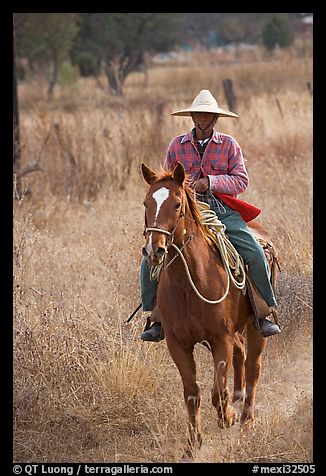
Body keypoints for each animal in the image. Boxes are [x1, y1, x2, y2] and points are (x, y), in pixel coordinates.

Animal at [141, 161, 266, 458]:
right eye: (146, 203)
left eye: (177, 204)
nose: (154, 250)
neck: (189, 281)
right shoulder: (178, 343)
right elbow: (192, 393)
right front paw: (192, 444)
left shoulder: (220, 337)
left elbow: (217, 392)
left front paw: (227, 417)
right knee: (241, 355)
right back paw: (238, 399)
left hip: (256, 326)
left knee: (253, 366)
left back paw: (246, 421)